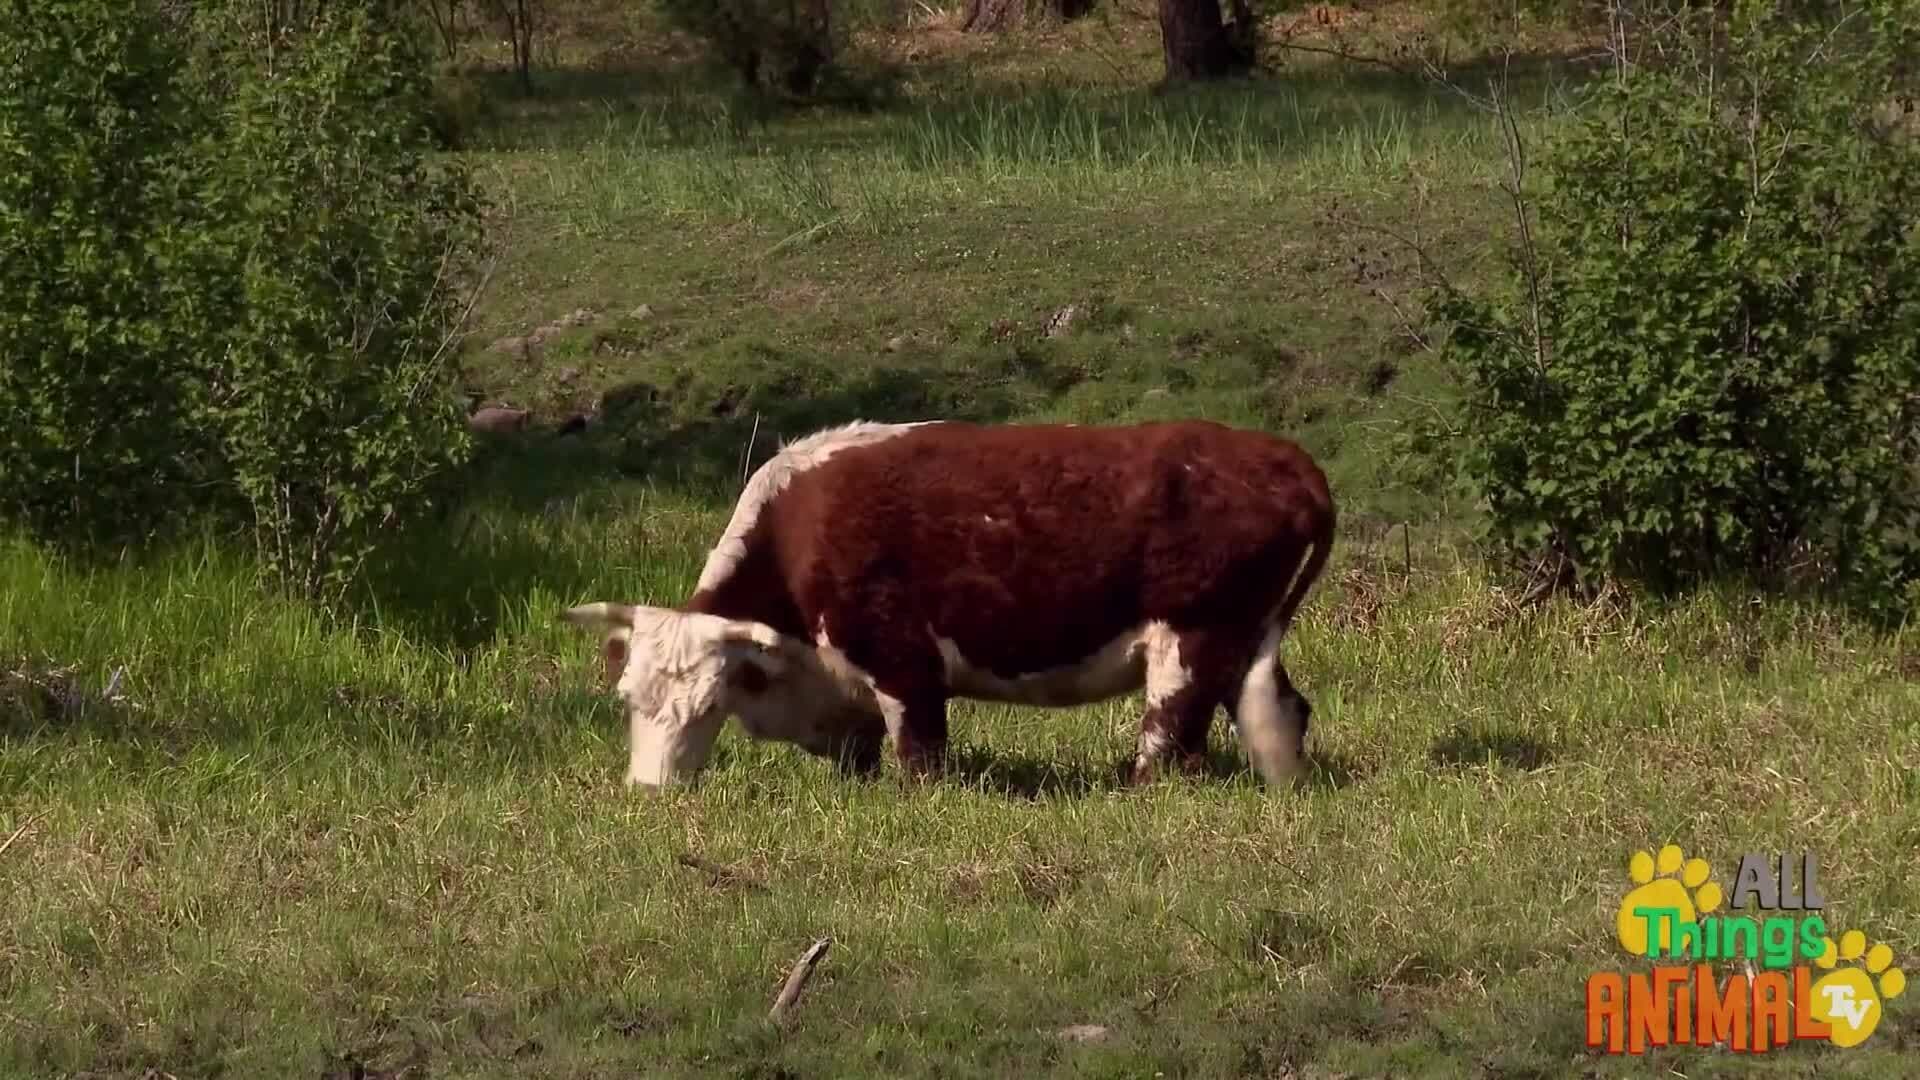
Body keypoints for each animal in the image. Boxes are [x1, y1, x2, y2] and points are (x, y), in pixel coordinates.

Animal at [562, 418, 1336, 790]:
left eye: (707, 706)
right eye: (627, 699)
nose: (650, 791)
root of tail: (1282, 458)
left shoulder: (903, 665)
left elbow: (919, 760)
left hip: (1188, 641)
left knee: (1167, 744)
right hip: (1247, 641)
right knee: (1278, 716)